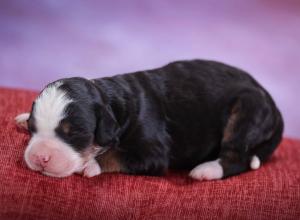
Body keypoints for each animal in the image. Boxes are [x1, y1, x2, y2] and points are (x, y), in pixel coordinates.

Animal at [14, 59, 284, 180]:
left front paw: (89, 164)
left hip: (246, 111)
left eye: (75, 134)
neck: (115, 101)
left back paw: (206, 170)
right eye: (33, 129)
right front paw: (23, 116)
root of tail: (271, 101)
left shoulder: (153, 152)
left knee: (236, 156)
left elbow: (116, 155)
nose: (40, 157)